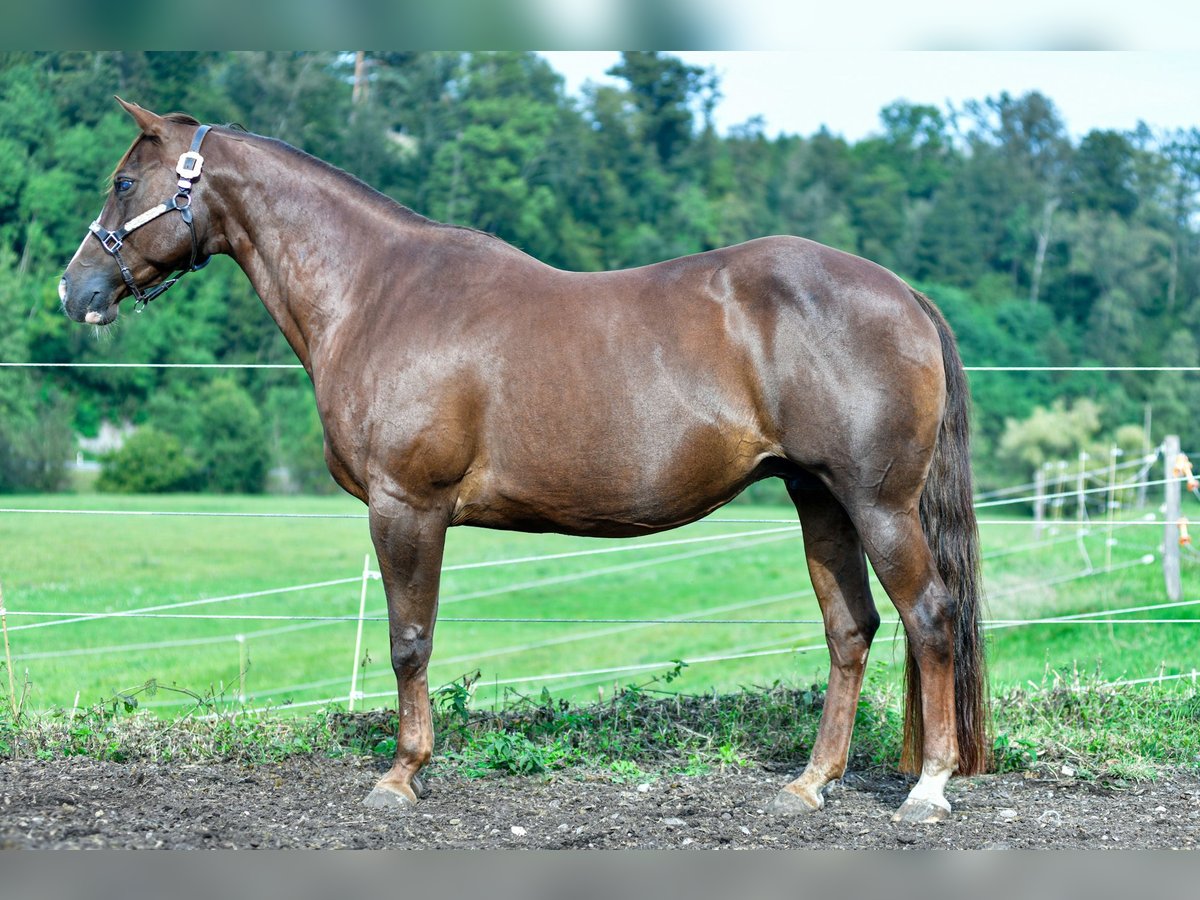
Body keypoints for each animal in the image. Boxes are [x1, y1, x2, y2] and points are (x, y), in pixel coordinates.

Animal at [60, 98, 988, 825]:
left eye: (122, 182)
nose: (75, 291)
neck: (377, 292)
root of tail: (903, 294)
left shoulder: (406, 505)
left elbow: (409, 641)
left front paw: (401, 775)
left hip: (878, 505)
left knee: (929, 616)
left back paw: (929, 787)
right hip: (817, 499)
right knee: (851, 630)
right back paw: (809, 784)